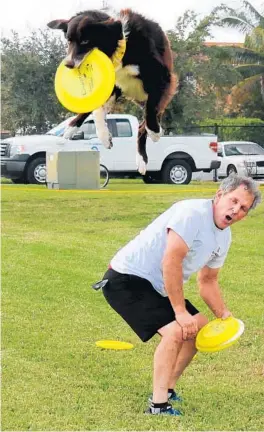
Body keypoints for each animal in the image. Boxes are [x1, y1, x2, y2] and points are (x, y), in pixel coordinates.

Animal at [48, 8, 178, 175]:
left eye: (85, 41)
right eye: (69, 41)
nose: (68, 64)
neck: (121, 48)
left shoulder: (162, 78)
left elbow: (150, 111)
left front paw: (155, 132)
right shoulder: (111, 84)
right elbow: (96, 111)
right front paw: (104, 136)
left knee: (145, 123)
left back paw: (144, 156)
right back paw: (72, 127)